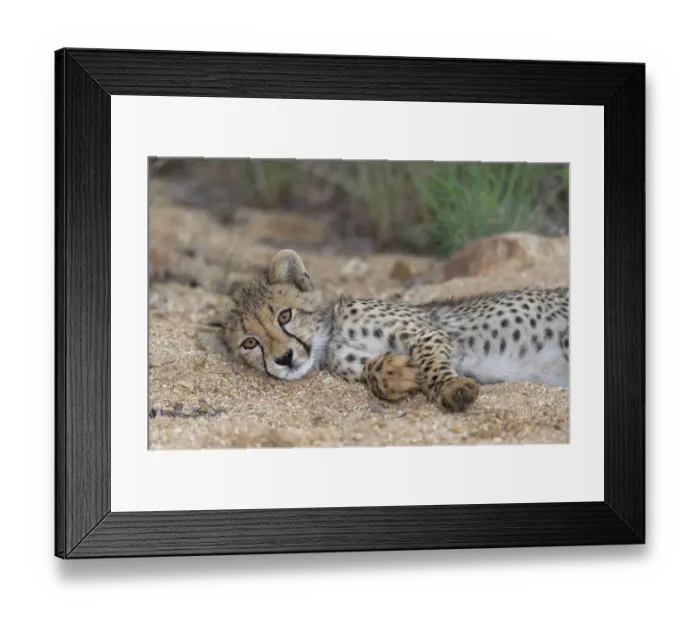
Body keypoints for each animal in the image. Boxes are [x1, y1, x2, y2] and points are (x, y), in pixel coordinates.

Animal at [223, 249, 570, 413]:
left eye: (284, 315)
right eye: (250, 343)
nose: (284, 358)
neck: (330, 339)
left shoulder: (427, 333)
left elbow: (431, 365)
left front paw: (451, 389)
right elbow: (376, 372)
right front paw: (394, 374)